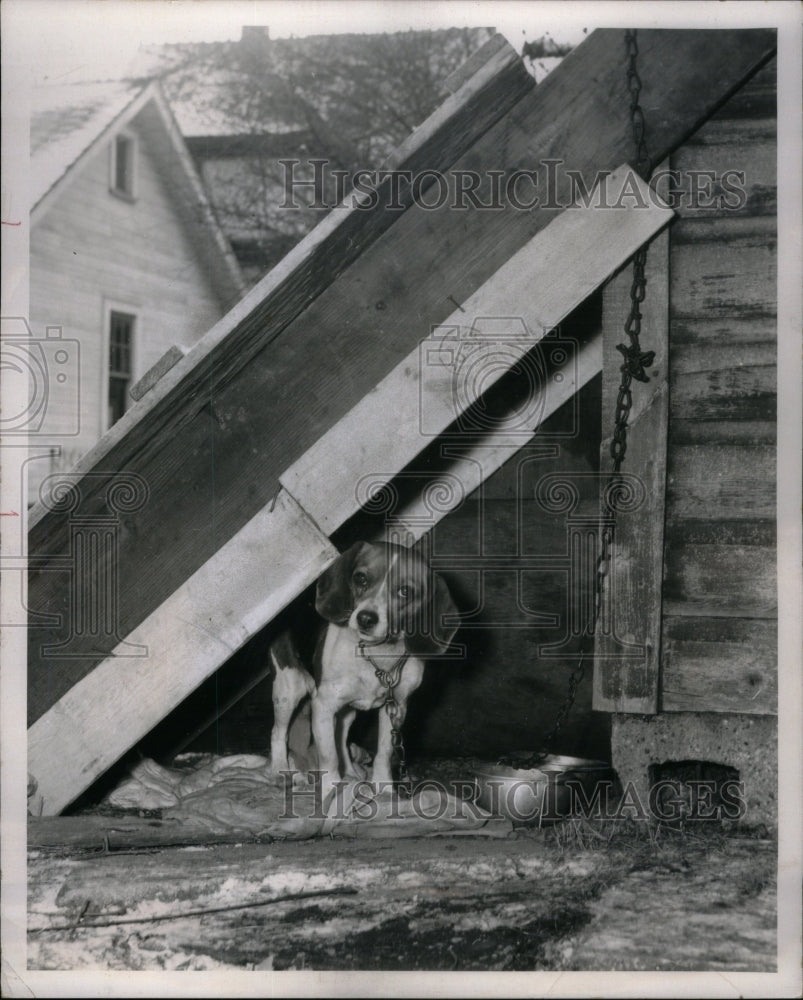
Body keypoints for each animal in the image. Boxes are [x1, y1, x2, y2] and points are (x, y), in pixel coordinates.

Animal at [270, 544, 458, 784]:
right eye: (360, 578)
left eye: (405, 591)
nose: (366, 619)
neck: (377, 656)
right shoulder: (323, 705)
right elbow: (329, 758)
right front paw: (332, 790)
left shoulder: (396, 708)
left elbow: (383, 754)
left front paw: (383, 788)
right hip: (289, 690)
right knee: (278, 733)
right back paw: (279, 771)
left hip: (348, 712)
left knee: (341, 740)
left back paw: (351, 772)